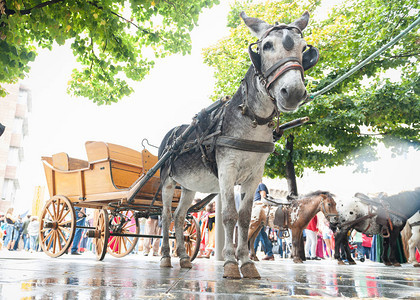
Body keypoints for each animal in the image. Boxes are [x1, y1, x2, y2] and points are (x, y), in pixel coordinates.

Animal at [158, 11, 318, 278]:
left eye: (304, 48)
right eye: (266, 46)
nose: (294, 92)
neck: (251, 121)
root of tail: (172, 134)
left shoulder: (254, 175)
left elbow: (244, 217)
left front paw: (246, 262)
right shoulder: (227, 170)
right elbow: (229, 215)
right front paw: (231, 264)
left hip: (188, 187)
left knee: (179, 217)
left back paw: (184, 257)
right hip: (167, 182)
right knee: (165, 215)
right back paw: (165, 257)